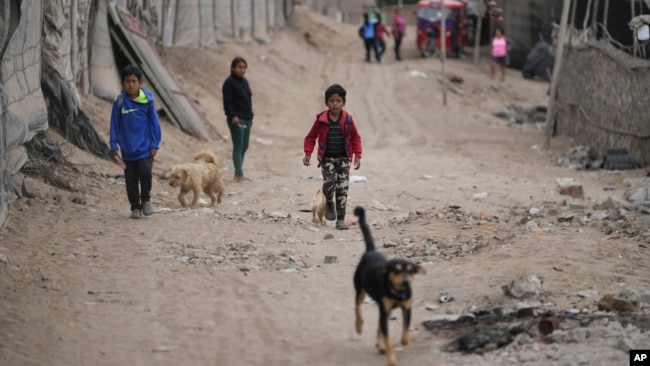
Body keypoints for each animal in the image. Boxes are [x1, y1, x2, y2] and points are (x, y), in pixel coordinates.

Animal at [352, 206, 422, 366]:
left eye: (411, 271)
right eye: (396, 270)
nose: (406, 282)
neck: (397, 292)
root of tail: (370, 251)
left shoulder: (406, 308)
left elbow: (405, 329)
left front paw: (404, 340)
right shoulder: (385, 311)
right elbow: (387, 338)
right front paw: (391, 358)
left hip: (383, 308)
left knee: (378, 325)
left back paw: (380, 344)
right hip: (360, 290)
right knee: (357, 308)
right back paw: (359, 326)